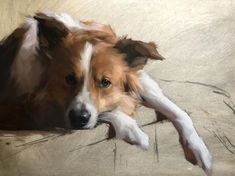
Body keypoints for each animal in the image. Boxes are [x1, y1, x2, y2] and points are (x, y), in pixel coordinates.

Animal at [0, 12, 212, 175]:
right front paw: (133, 131)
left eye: (105, 82)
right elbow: (110, 112)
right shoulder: (35, 110)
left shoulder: (139, 79)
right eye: (69, 78)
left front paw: (200, 149)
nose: (79, 119)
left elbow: (177, 112)